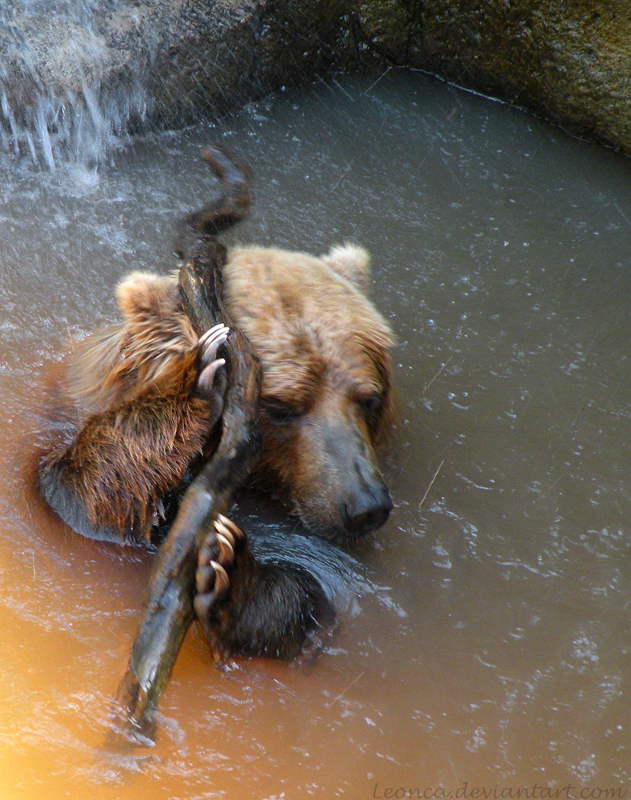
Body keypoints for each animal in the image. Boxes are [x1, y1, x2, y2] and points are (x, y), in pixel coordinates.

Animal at [37, 148, 396, 656]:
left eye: (368, 398)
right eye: (282, 405)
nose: (365, 504)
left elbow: (321, 586)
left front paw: (232, 575)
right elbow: (77, 489)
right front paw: (197, 378)